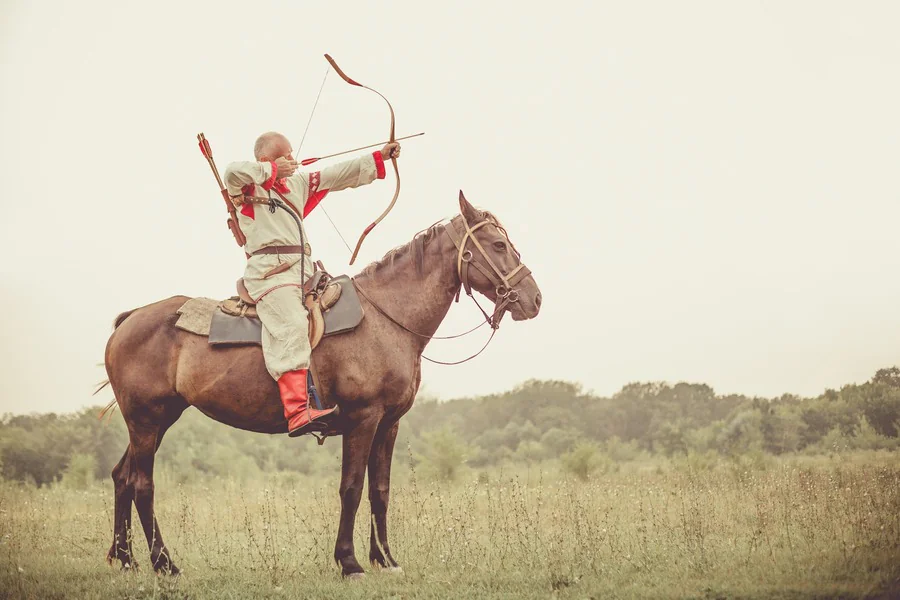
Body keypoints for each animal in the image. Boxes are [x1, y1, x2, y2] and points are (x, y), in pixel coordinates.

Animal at [102, 192, 544, 576]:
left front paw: (385, 559)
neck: (386, 318)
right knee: (142, 485)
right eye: (498, 244)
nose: (534, 299)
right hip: (147, 421)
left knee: (122, 477)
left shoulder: (389, 424)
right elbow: (351, 488)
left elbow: (380, 490)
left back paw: (125, 558)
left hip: (155, 422)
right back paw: (165, 563)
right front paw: (350, 562)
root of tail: (129, 319)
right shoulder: (363, 420)